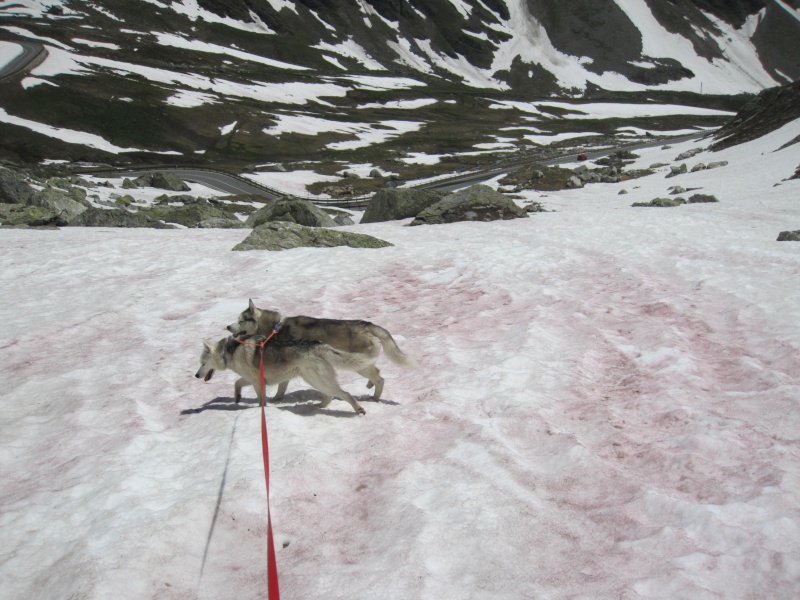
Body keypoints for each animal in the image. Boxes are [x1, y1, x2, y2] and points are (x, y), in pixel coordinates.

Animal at [195, 336, 380, 414]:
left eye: (202, 363)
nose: (196, 375)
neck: (229, 353)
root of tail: (318, 345)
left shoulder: (256, 381)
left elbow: (261, 400)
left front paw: (260, 410)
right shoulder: (252, 379)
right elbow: (237, 384)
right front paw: (237, 398)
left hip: (317, 380)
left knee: (345, 394)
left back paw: (358, 409)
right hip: (315, 380)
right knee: (330, 395)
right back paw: (319, 406)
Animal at [225, 300, 412, 404]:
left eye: (241, 321)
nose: (227, 326)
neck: (274, 328)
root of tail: (368, 325)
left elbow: (281, 386)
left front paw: (276, 399)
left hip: (360, 366)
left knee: (380, 379)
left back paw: (375, 398)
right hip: (362, 363)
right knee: (377, 372)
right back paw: (369, 386)